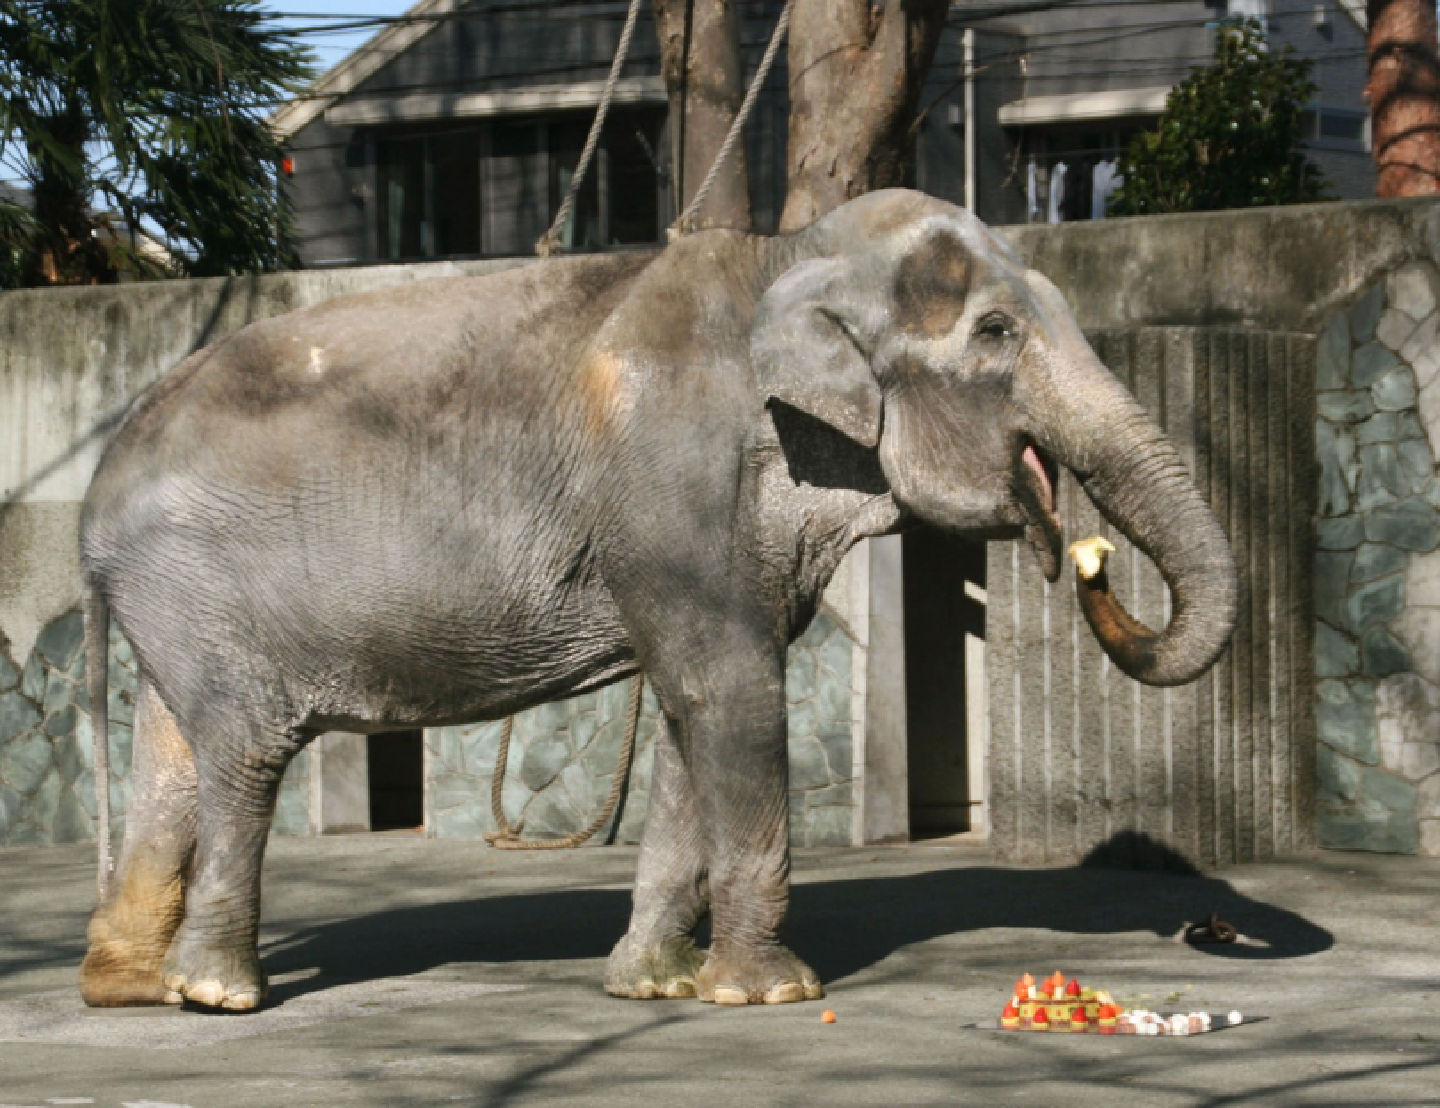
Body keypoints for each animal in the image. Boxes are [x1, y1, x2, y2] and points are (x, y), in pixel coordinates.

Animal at [77, 188, 1237, 1012]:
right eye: (996, 332)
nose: (1086, 558)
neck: (788, 252)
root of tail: (96, 491)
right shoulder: (680, 485)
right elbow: (733, 693)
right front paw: (773, 994)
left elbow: (690, 713)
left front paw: (655, 985)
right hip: (207, 587)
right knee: (246, 754)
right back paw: (218, 995)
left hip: (177, 606)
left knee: (172, 753)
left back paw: (133, 988)